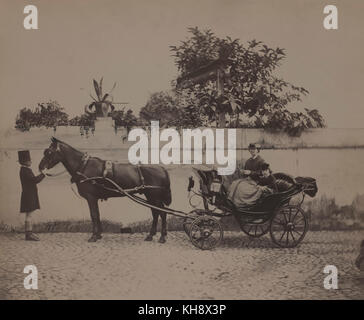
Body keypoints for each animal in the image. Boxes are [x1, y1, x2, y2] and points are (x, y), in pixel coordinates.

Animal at [39, 138, 173, 242]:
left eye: (48, 152)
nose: (40, 167)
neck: (83, 167)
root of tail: (162, 169)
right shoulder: (94, 198)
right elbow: (97, 215)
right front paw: (98, 235)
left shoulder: (91, 198)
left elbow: (93, 215)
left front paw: (93, 236)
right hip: (151, 196)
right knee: (156, 213)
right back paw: (151, 235)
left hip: (154, 196)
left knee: (162, 213)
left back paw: (162, 237)